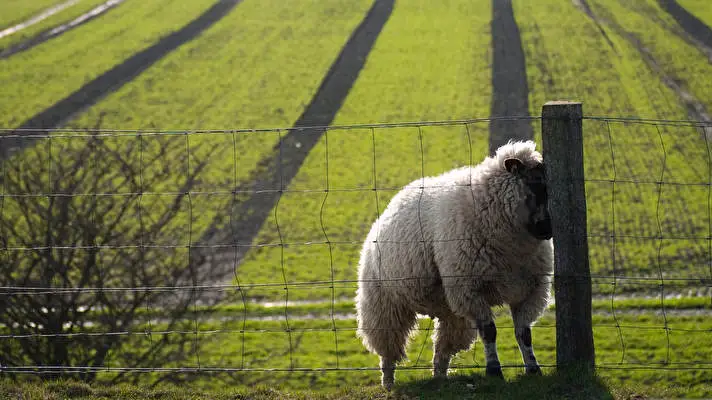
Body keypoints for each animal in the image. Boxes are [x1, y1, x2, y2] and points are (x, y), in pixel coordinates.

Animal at [355, 140, 554, 390]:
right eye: (534, 185)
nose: (548, 230)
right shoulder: (471, 290)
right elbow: (489, 332)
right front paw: (494, 371)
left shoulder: (530, 291)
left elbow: (524, 333)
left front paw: (533, 369)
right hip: (384, 303)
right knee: (388, 347)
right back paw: (389, 382)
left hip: (450, 308)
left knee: (443, 346)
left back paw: (440, 376)